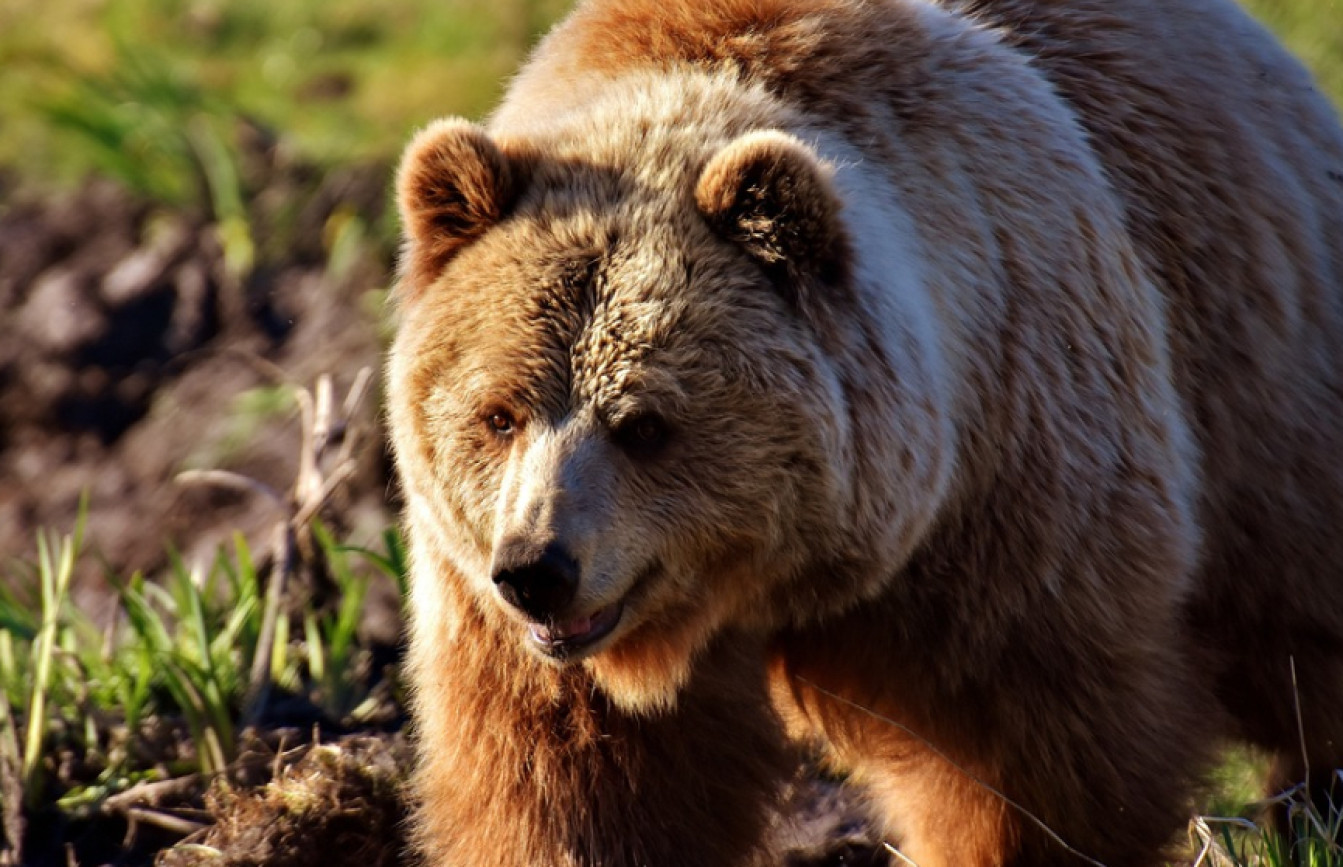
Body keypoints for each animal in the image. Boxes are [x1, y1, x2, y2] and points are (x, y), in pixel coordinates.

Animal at [385, 0, 1343, 864]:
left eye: (646, 423)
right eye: (498, 413)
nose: (537, 570)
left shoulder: (1009, 491)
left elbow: (1024, 760)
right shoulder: (497, 614)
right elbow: (575, 785)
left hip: (1253, 382)